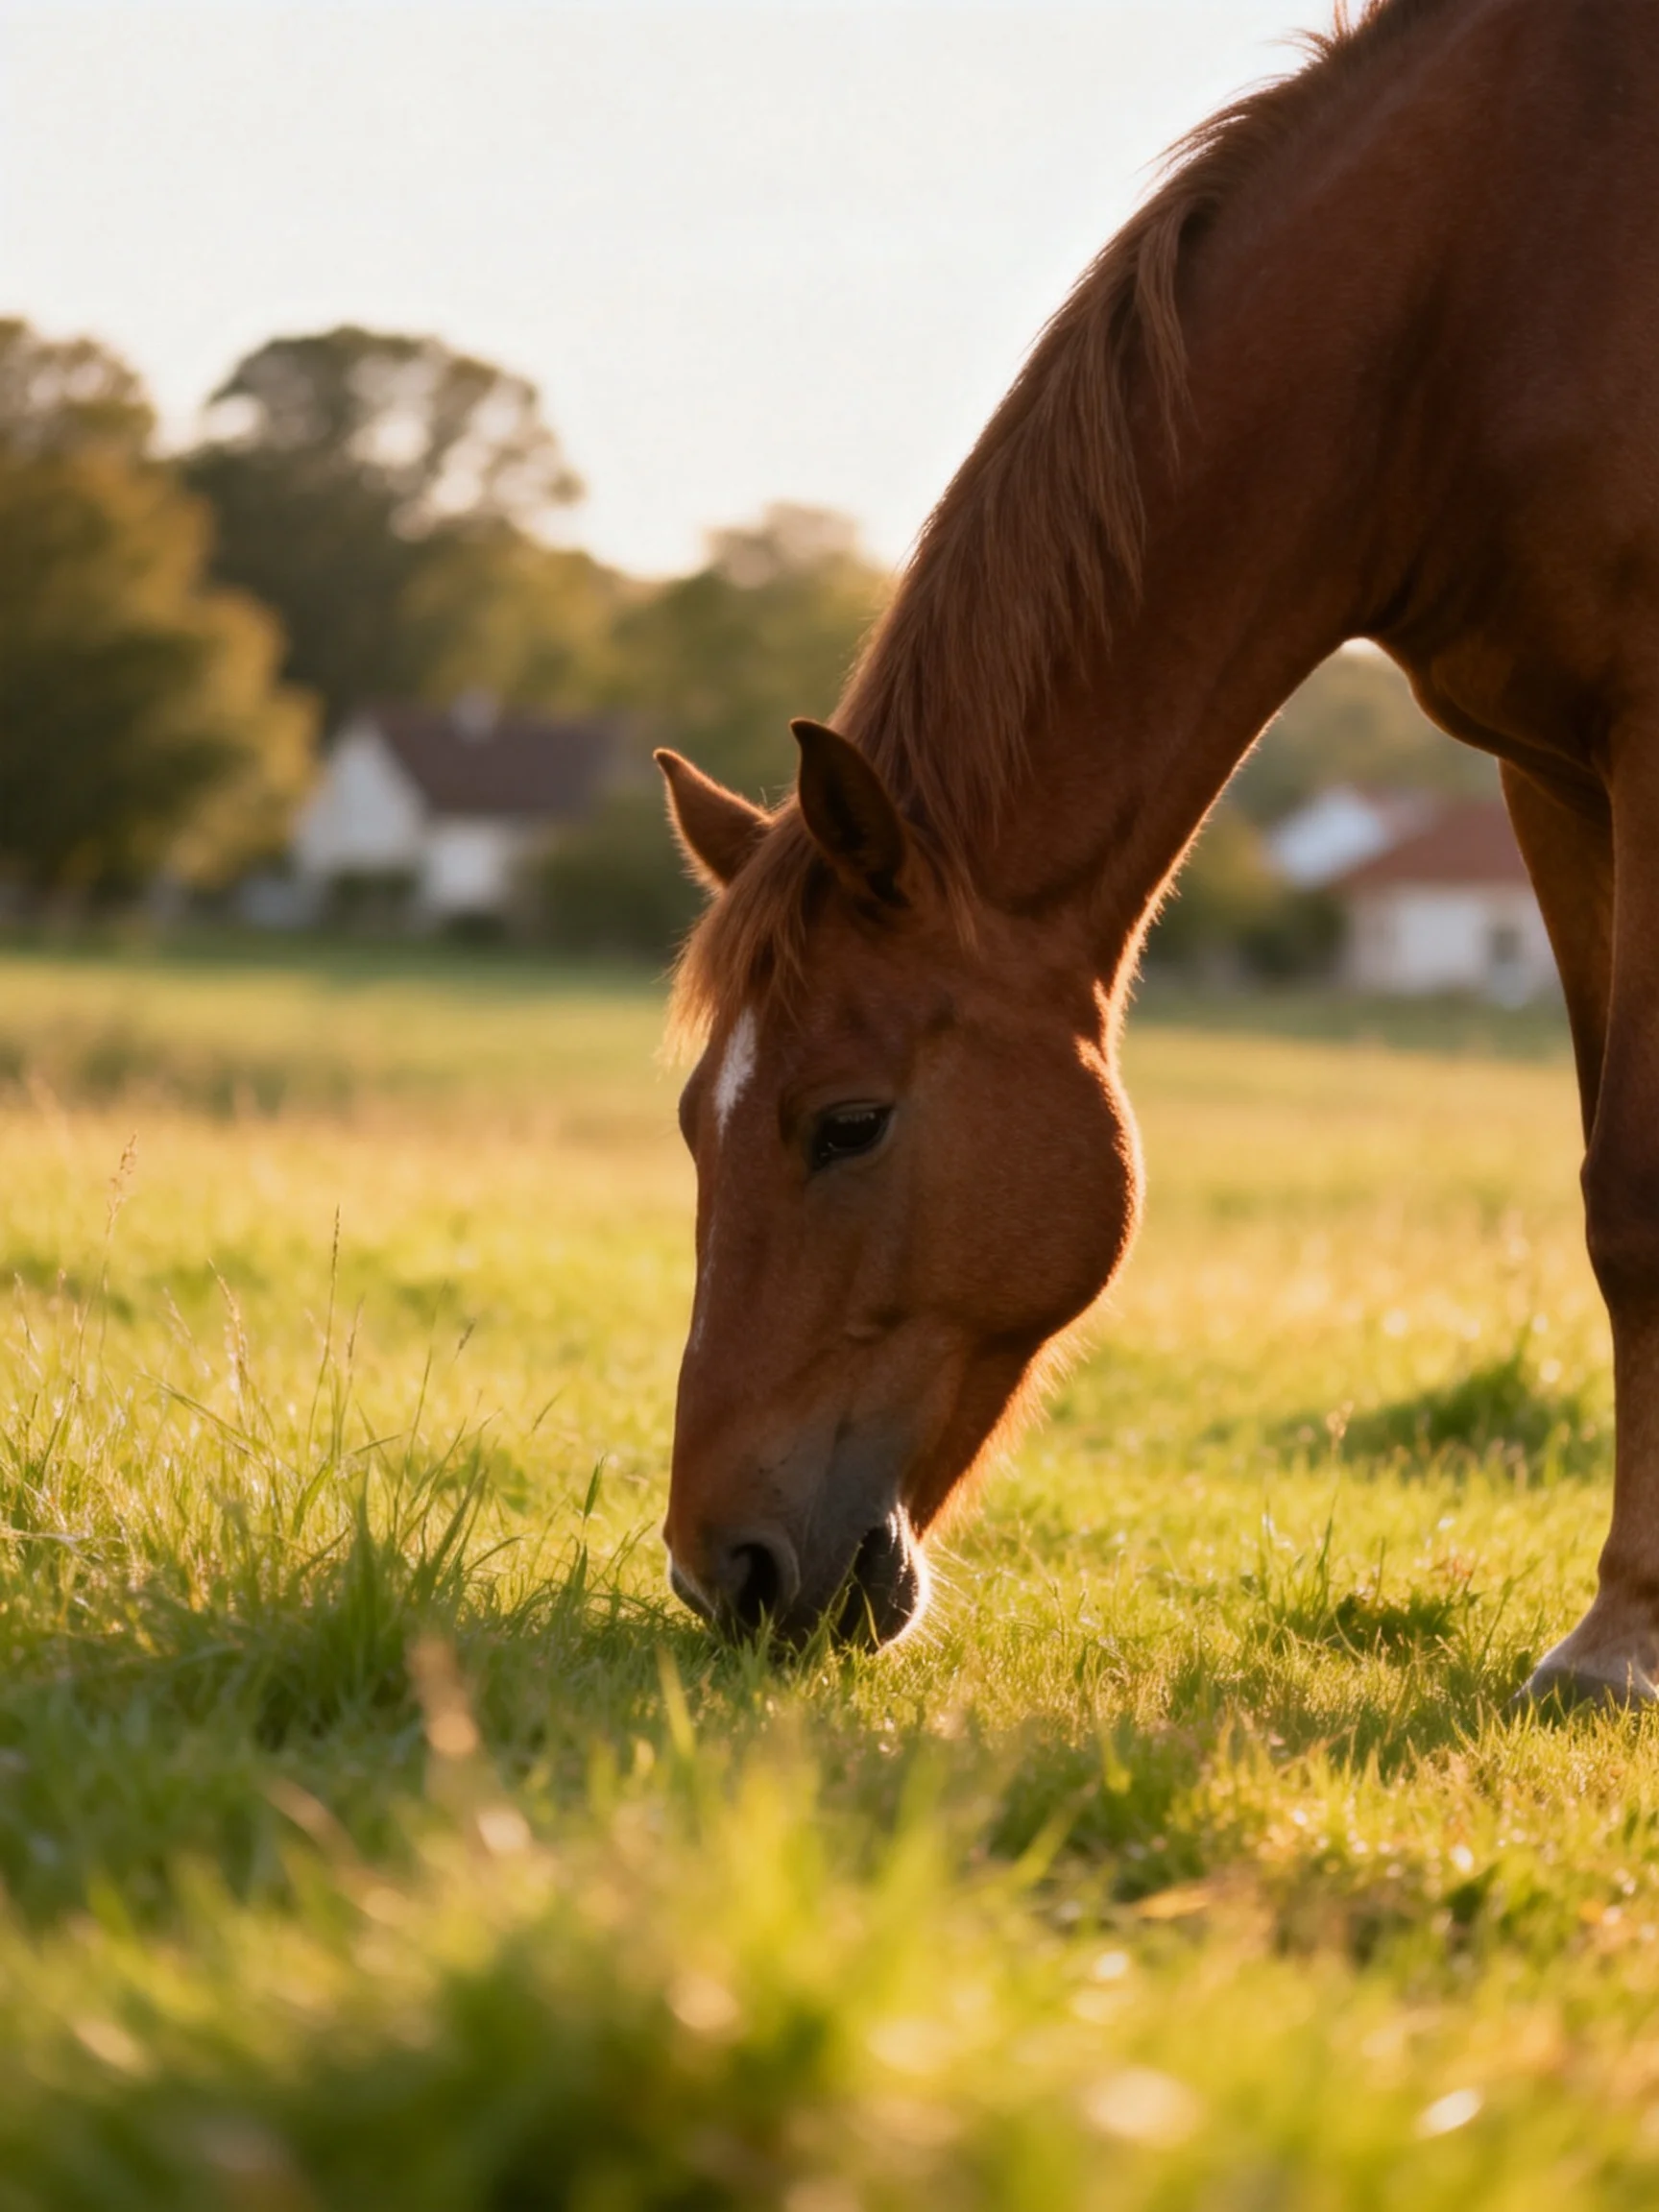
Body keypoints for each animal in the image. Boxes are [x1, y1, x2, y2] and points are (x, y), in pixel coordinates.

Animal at [654, 0, 1659, 1705]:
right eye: (689, 1127)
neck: (1485, 273)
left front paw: (1624, 1638)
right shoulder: (1556, 779)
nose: (720, 1570)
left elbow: (1645, 1186)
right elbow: (1607, 1194)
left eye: (848, 1125)